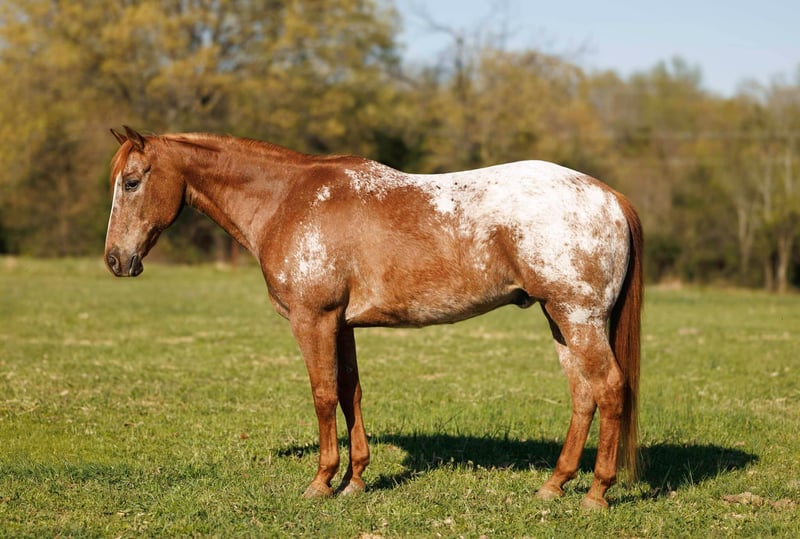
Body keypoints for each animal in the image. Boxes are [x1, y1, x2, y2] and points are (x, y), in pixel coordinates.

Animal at [104, 126, 642, 509]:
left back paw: (596, 493)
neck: (287, 200)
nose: (115, 260)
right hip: (560, 319)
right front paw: (355, 479)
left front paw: (321, 481)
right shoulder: (342, 325)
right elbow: (350, 393)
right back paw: (554, 485)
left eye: (132, 182)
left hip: (578, 317)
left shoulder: (314, 320)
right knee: (583, 394)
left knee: (610, 389)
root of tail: (610, 196)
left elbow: (323, 396)